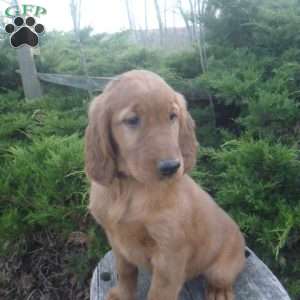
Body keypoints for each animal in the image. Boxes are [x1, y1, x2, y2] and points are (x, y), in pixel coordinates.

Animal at [84, 69, 244, 300]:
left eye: (172, 116)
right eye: (132, 120)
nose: (171, 167)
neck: (130, 187)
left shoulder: (170, 255)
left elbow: (159, 292)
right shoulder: (116, 241)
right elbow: (125, 270)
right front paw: (122, 294)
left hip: (221, 267)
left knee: (222, 278)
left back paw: (218, 292)